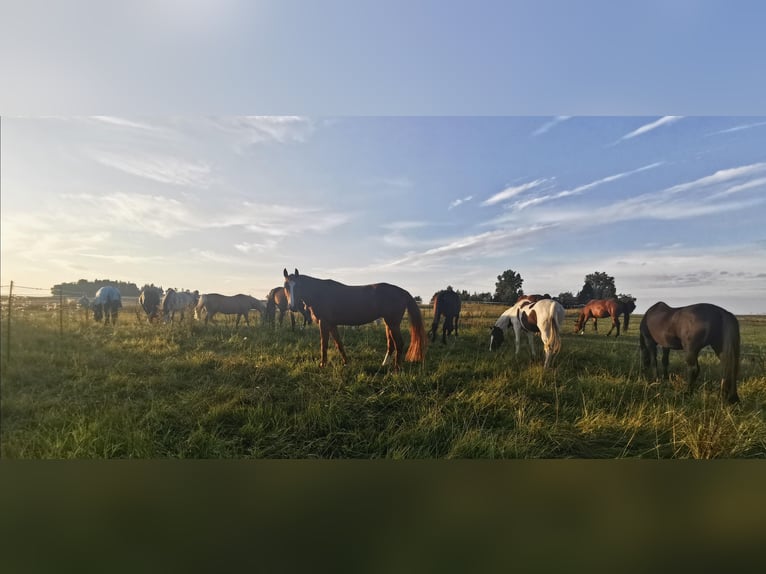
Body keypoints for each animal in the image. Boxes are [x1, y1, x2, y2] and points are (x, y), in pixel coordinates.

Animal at [284, 268, 426, 372]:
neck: (320, 293)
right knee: (391, 344)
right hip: (389, 323)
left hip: (393, 323)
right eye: (285, 286)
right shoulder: (332, 324)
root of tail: (403, 292)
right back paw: (384, 364)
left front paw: (322, 365)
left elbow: (324, 345)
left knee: (399, 344)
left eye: (298, 286)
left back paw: (397, 368)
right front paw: (346, 363)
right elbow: (339, 344)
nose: (292, 307)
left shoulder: (324, 323)